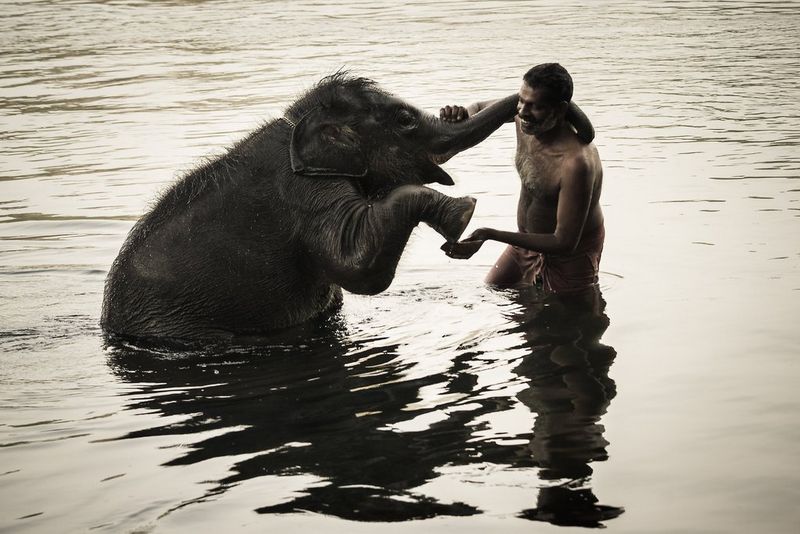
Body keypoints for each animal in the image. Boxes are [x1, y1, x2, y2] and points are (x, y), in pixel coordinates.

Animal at [101, 73, 521, 342]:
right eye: (405, 120)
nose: (526, 96)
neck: (298, 119)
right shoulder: (304, 192)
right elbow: (358, 268)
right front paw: (464, 213)